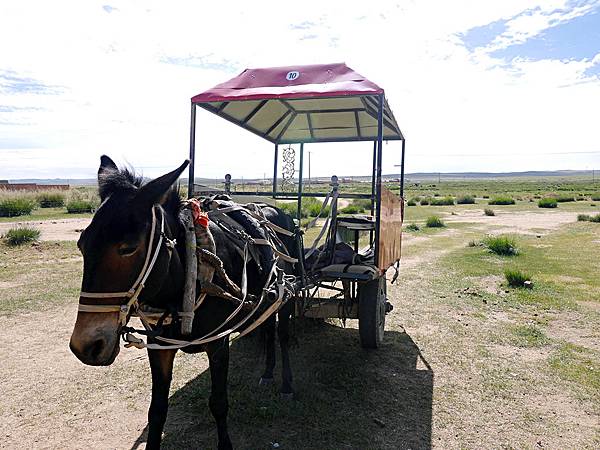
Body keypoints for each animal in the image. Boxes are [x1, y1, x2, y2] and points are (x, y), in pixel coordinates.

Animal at [70, 156, 298, 450]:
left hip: (287, 295)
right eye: (81, 245)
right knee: (268, 327)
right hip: (266, 300)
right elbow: (156, 410)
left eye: (128, 248)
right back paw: (268, 372)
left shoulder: (218, 344)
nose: (85, 346)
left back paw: (287, 384)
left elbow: (219, 403)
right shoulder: (158, 346)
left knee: (282, 335)